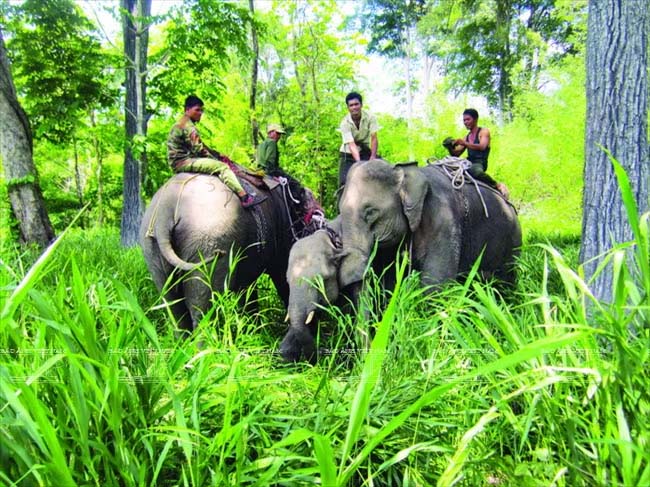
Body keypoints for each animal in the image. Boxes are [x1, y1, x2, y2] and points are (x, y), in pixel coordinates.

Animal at [139, 172, 321, 333]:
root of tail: (165, 211)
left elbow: (247, 288)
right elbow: (281, 276)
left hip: (152, 250)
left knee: (174, 307)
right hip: (209, 240)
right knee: (203, 307)